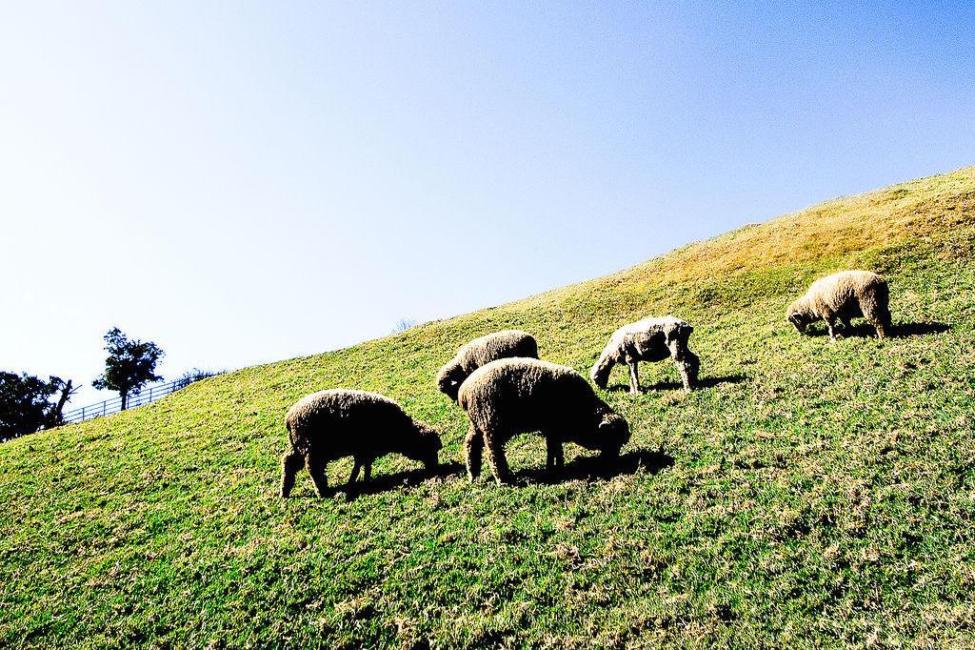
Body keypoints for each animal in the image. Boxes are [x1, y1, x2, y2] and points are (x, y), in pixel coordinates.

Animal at [276, 390, 440, 496]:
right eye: (429, 449)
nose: (435, 468)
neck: (402, 431)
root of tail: (289, 418)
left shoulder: (365, 450)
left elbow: (364, 466)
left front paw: (362, 480)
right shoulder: (364, 448)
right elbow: (361, 466)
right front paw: (357, 481)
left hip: (298, 446)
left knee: (288, 462)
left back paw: (284, 491)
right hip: (311, 448)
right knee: (312, 468)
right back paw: (322, 491)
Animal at [460, 356, 632, 484]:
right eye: (611, 440)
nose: (612, 462)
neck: (584, 411)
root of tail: (464, 392)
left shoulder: (552, 430)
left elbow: (554, 449)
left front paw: (555, 466)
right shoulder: (554, 427)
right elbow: (555, 449)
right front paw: (555, 468)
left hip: (477, 422)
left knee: (470, 444)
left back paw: (473, 474)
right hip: (490, 422)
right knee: (493, 452)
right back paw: (502, 479)